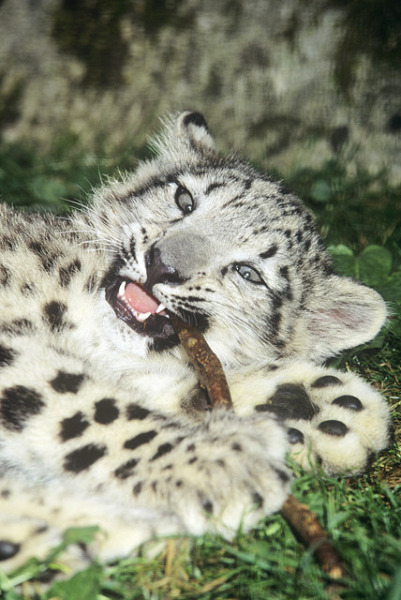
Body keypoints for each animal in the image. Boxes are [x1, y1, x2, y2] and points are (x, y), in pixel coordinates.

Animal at [0, 110, 390, 576]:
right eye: (184, 199)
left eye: (248, 273)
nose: (163, 263)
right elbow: (79, 399)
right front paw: (223, 464)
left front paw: (315, 407)